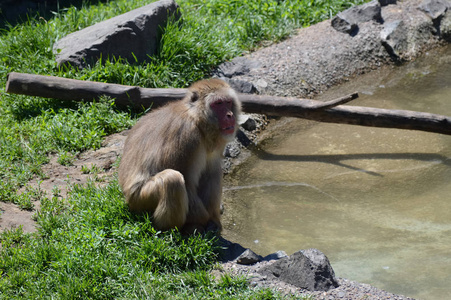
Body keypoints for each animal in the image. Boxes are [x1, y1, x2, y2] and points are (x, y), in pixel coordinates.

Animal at [118, 79, 242, 234]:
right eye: (218, 103)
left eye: (228, 102)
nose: (230, 115)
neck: (198, 120)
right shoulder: (185, 136)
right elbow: (186, 181)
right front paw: (202, 220)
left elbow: (210, 171)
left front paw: (214, 220)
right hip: (139, 200)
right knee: (172, 180)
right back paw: (169, 230)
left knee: (213, 171)